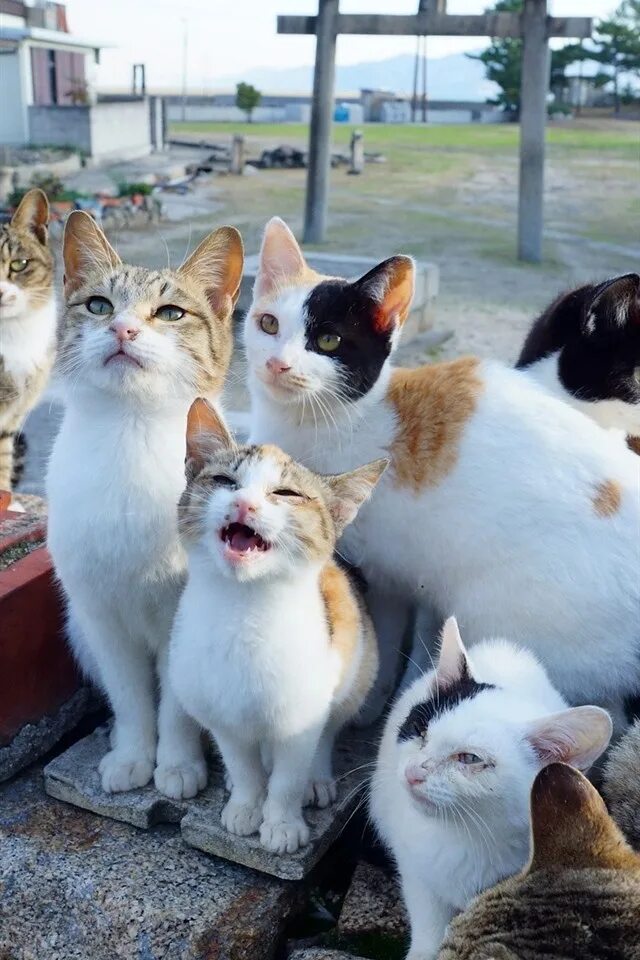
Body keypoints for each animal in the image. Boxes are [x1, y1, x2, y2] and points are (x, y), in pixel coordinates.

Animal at [46, 211, 243, 797]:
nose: (123, 329)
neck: (129, 434)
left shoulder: (184, 619)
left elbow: (176, 706)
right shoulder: (99, 617)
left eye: (170, 313)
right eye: (98, 306)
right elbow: (131, 698)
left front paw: (177, 765)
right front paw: (134, 755)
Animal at [168, 398, 384, 853]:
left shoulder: (301, 716)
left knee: (328, 728)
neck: (244, 610)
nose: (244, 504)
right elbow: (244, 765)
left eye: (286, 494)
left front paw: (283, 823)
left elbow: (289, 775)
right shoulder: (221, 713)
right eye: (225, 480)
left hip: (358, 667)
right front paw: (246, 806)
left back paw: (316, 779)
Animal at [370, 617, 612, 960]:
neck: (467, 836)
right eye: (420, 731)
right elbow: (428, 912)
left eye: (469, 758)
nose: (413, 772)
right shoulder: (414, 863)